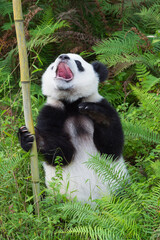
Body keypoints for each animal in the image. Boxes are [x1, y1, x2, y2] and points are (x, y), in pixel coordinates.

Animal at [17, 53, 127, 202]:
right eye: (53, 66)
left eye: (79, 63)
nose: (63, 56)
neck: (72, 104)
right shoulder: (50, 112)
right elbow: (61, 154)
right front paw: (31, 137)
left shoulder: (100, 103)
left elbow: (111, 147)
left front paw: (96, 114)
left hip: (118, 187)